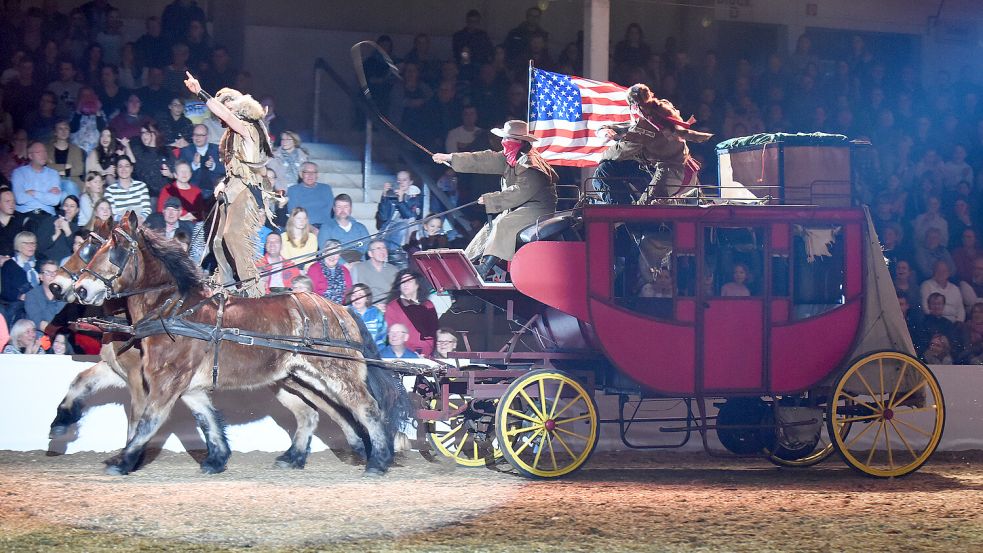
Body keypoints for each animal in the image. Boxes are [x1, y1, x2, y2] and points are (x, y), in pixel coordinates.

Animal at [71, 211, 406, 474]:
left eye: (113, 251)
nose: (80, 289)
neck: (175, 309)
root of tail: (343, 309)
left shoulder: (166, 380)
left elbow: (148, 421)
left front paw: (123, 461)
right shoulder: (186, 385)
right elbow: (207, 419)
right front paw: (216, 459)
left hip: (336, 373)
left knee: (366, 408)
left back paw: (377, 461)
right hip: (293, 379)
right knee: (313, 413)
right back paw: (296, 457)